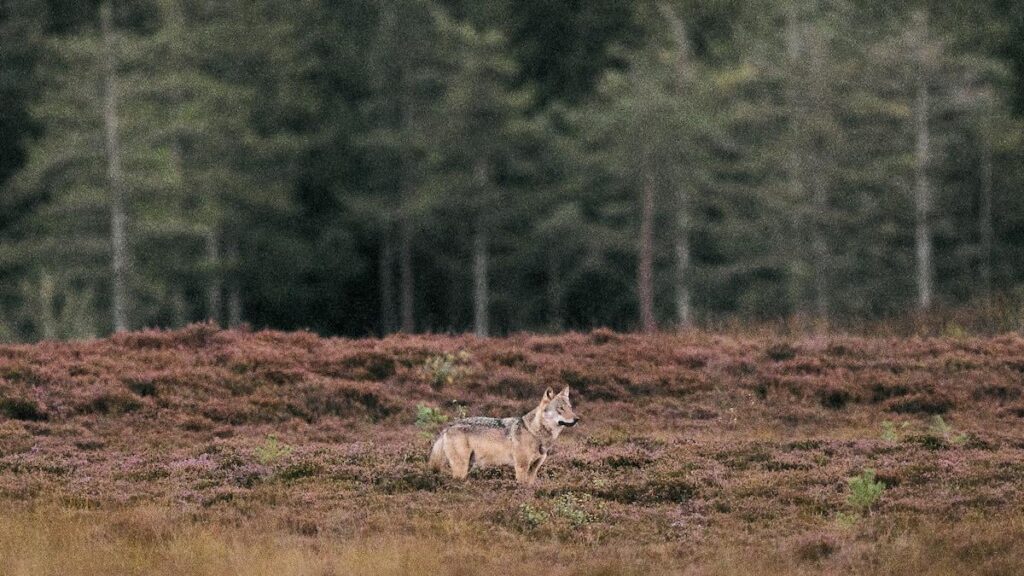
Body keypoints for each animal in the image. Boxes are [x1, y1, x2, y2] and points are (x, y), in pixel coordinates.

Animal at [428, 386, 579, 484]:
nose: (577, 419)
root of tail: (448, 426)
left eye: (570, 408)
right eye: (560, 409)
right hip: (461, 468)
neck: (534, 432)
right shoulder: (521, 467)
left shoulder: (534, 469)